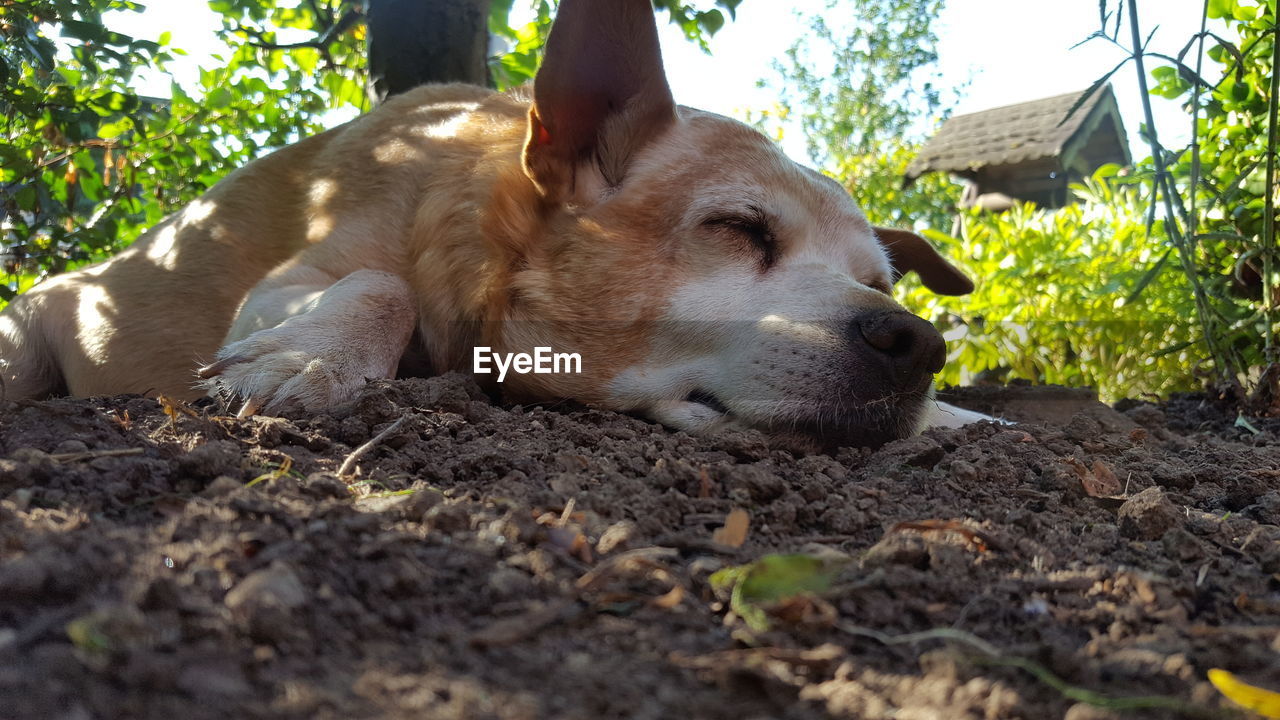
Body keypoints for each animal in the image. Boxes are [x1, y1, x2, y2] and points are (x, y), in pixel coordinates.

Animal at [0, 0, 988, 448]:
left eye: (880, 282)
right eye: (740, 229)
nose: (918, 343)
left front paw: (960, 414)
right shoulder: (293, 278)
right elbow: (380, 283)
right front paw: (312, 357)